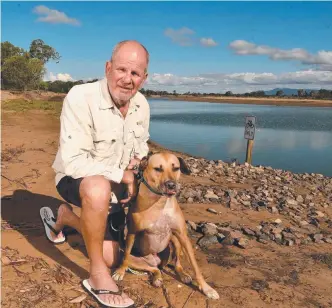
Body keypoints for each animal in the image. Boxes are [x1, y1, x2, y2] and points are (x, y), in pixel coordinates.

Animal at [113, 153, 219, 300]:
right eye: (158, 169)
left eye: (176, 168)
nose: (171, 185)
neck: (160, 202)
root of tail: (156, 260)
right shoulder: (132, 232)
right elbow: (126, 256)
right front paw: (120, 271)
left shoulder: (182, 235)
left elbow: (195, 266)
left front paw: (206, 288)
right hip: (135, 259)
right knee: (151, 268)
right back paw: (157, 278)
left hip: (175, 242)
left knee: (176, 264)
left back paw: (183, 275)